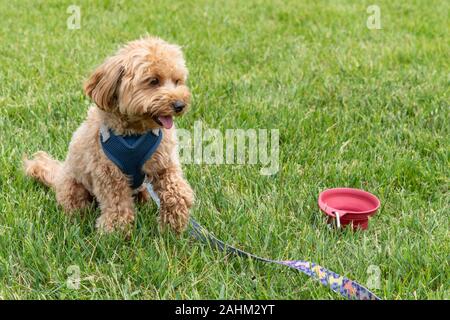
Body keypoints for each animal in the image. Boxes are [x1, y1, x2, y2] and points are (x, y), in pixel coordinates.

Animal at [23, 37, 193, 232]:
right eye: (153, 81)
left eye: (177, 81)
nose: (180, 105)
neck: (134, 134)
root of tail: (58, 176)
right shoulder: (109, 174)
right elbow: (117, 203)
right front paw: (115, 231)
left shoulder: (163, 163)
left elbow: (177, 190)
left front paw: (173, 222)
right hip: (73, 187)